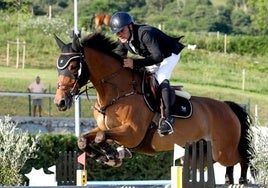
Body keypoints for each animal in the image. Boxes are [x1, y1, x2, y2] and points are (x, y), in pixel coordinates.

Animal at [52, 32, 255, 184]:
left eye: (73, 66)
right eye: (58, 67)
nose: (60, 102)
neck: (117, 92)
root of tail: (227, 107)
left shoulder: (132, 132)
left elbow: (102, 137)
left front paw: (113, 155)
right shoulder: (106, 127)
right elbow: (84, 140)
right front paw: (108, 157)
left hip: (224, 150)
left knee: (242, 160)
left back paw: (242, 180)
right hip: (206, 152)